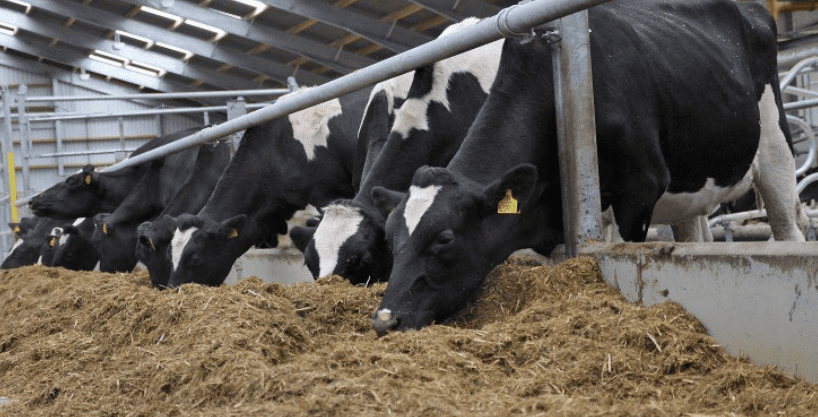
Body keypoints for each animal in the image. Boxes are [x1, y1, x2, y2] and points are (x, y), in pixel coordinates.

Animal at [370, 0, 809, 335]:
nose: (385, 320)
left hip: (775, 150)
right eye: (390, 239)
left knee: (788, 228)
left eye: (444, 238)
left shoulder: (639, 191)